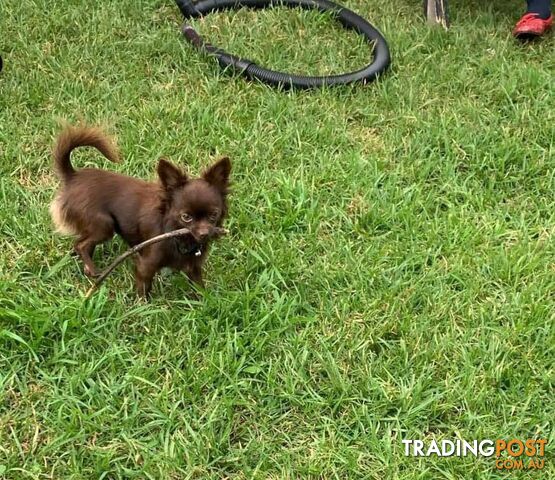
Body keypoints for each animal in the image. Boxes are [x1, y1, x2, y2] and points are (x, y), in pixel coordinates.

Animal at [48, 124, 230, 296]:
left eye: (214, 215)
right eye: (186, 217)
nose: (205, 233)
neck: (180, 237)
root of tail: (73, 176)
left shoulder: (193, 267)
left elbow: (199, 288)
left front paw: (205, 302)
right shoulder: (146, 265)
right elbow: (144, 289)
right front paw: (143, 306)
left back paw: (87, 268)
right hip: (104, 224)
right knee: (80, 245)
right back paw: (93, 270)